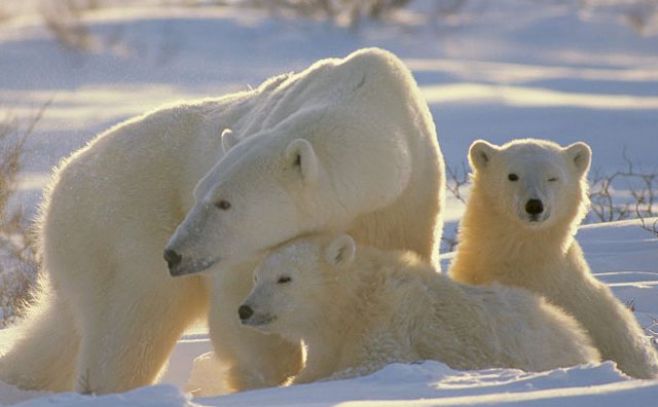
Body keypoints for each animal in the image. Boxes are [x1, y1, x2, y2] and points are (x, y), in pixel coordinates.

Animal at [0, 48, 445, 394]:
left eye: (224, 202)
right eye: (201, 193)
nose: (174, 253)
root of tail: (61, 179)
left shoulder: (406, 202)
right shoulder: (242, 250)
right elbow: (239, 297)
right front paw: (264, 373)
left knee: (61, 329)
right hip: (121, 226)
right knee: (133, 321)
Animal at [238, 232, 601, 384]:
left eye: (285, 278)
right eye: (256, 276)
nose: (245, 309)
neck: (355, 300)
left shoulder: (390, 319)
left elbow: (375, 362)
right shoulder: (329, 339)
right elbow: (315, 367)